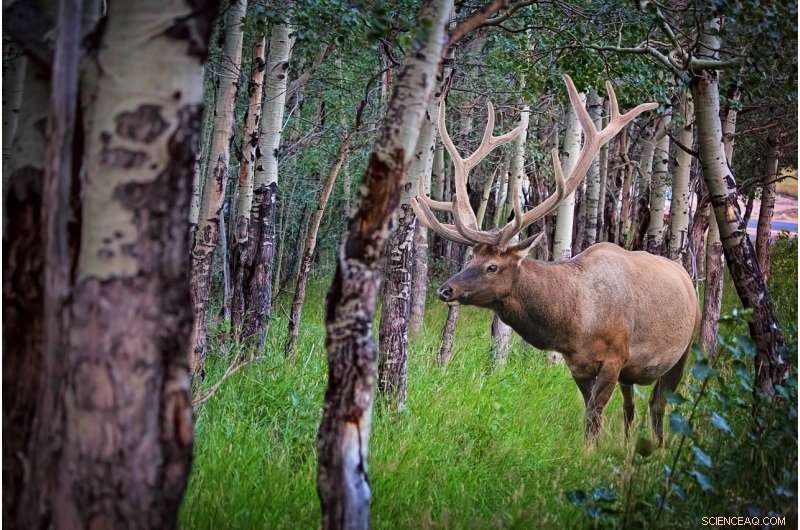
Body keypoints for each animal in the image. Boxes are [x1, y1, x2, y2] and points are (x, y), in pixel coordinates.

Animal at [412, 75, 700, 445]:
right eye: (470, 258)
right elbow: (592, 416)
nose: (446, 290)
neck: (575, 323)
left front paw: (588, 455)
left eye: (492, 266)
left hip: (684, 349)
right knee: (631, 408)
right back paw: (628, 448)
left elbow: (593, 417)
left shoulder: (615, 356)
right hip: (634, 372)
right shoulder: (578, 364)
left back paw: (658, 449)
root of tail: (686, 277)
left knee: (659, 405)